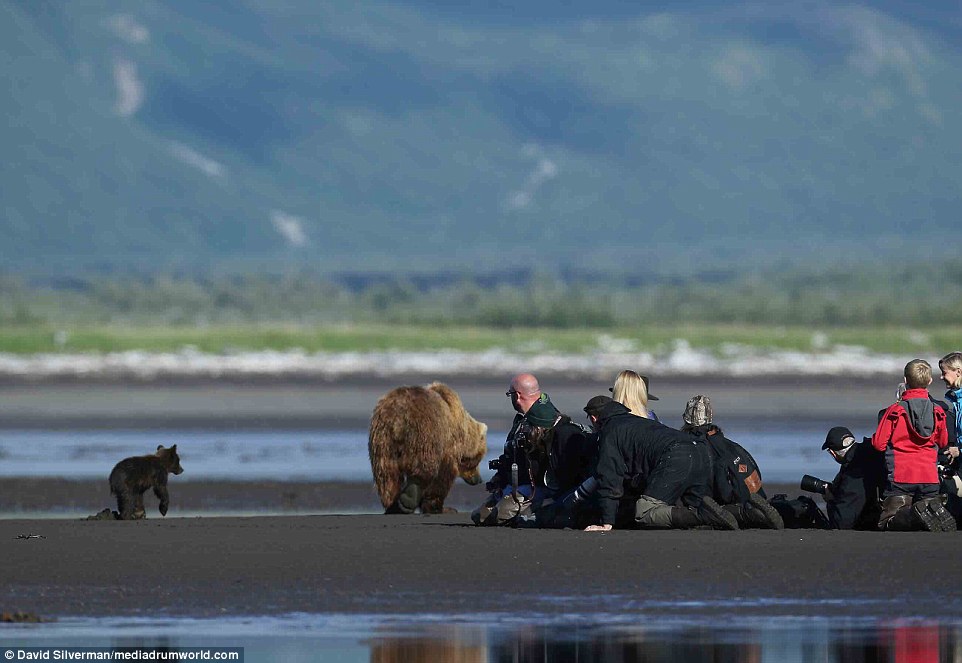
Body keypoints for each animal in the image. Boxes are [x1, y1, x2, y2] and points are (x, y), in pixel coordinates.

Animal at [368, 382, 488, 516]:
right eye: (478, 460)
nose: (479, 479)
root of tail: (398, 419)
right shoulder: (448, 443)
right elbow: (443, 476)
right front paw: (443, 508)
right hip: (424, 433)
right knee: (424, 467)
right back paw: (409, 497)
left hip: (382, 441)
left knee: (387, 476)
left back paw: (394, 506)